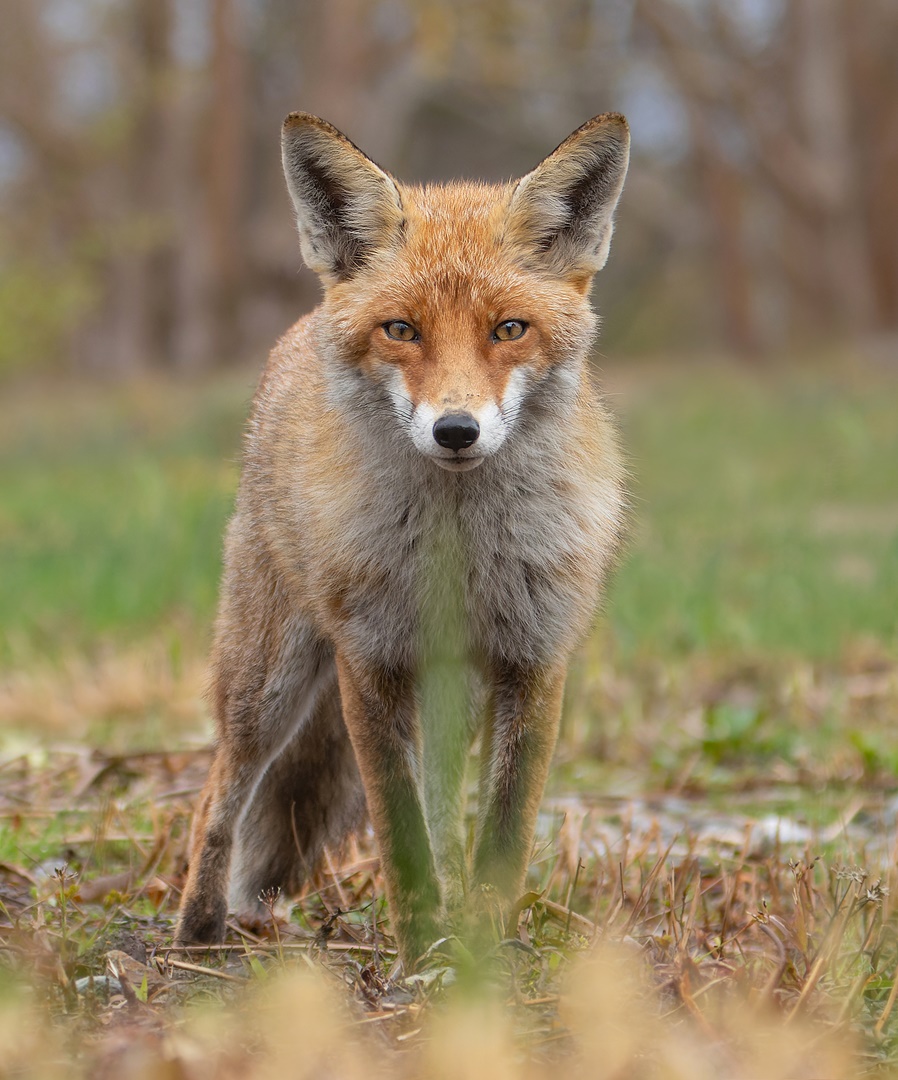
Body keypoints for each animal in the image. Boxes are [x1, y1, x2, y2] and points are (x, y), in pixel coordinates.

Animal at [173, 111, 626, 972]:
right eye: (402, 330)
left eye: (508, 330)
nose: (456, 430)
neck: (458, 553)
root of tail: (297, 329)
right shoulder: (370, 661)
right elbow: (400, 834)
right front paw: (423, 957)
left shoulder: (534, 660)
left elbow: (500, 837)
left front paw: (483, 954)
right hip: (268, 681)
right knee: (222, 789)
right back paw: (197, 934)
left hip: (450, 696)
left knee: (446, 808)